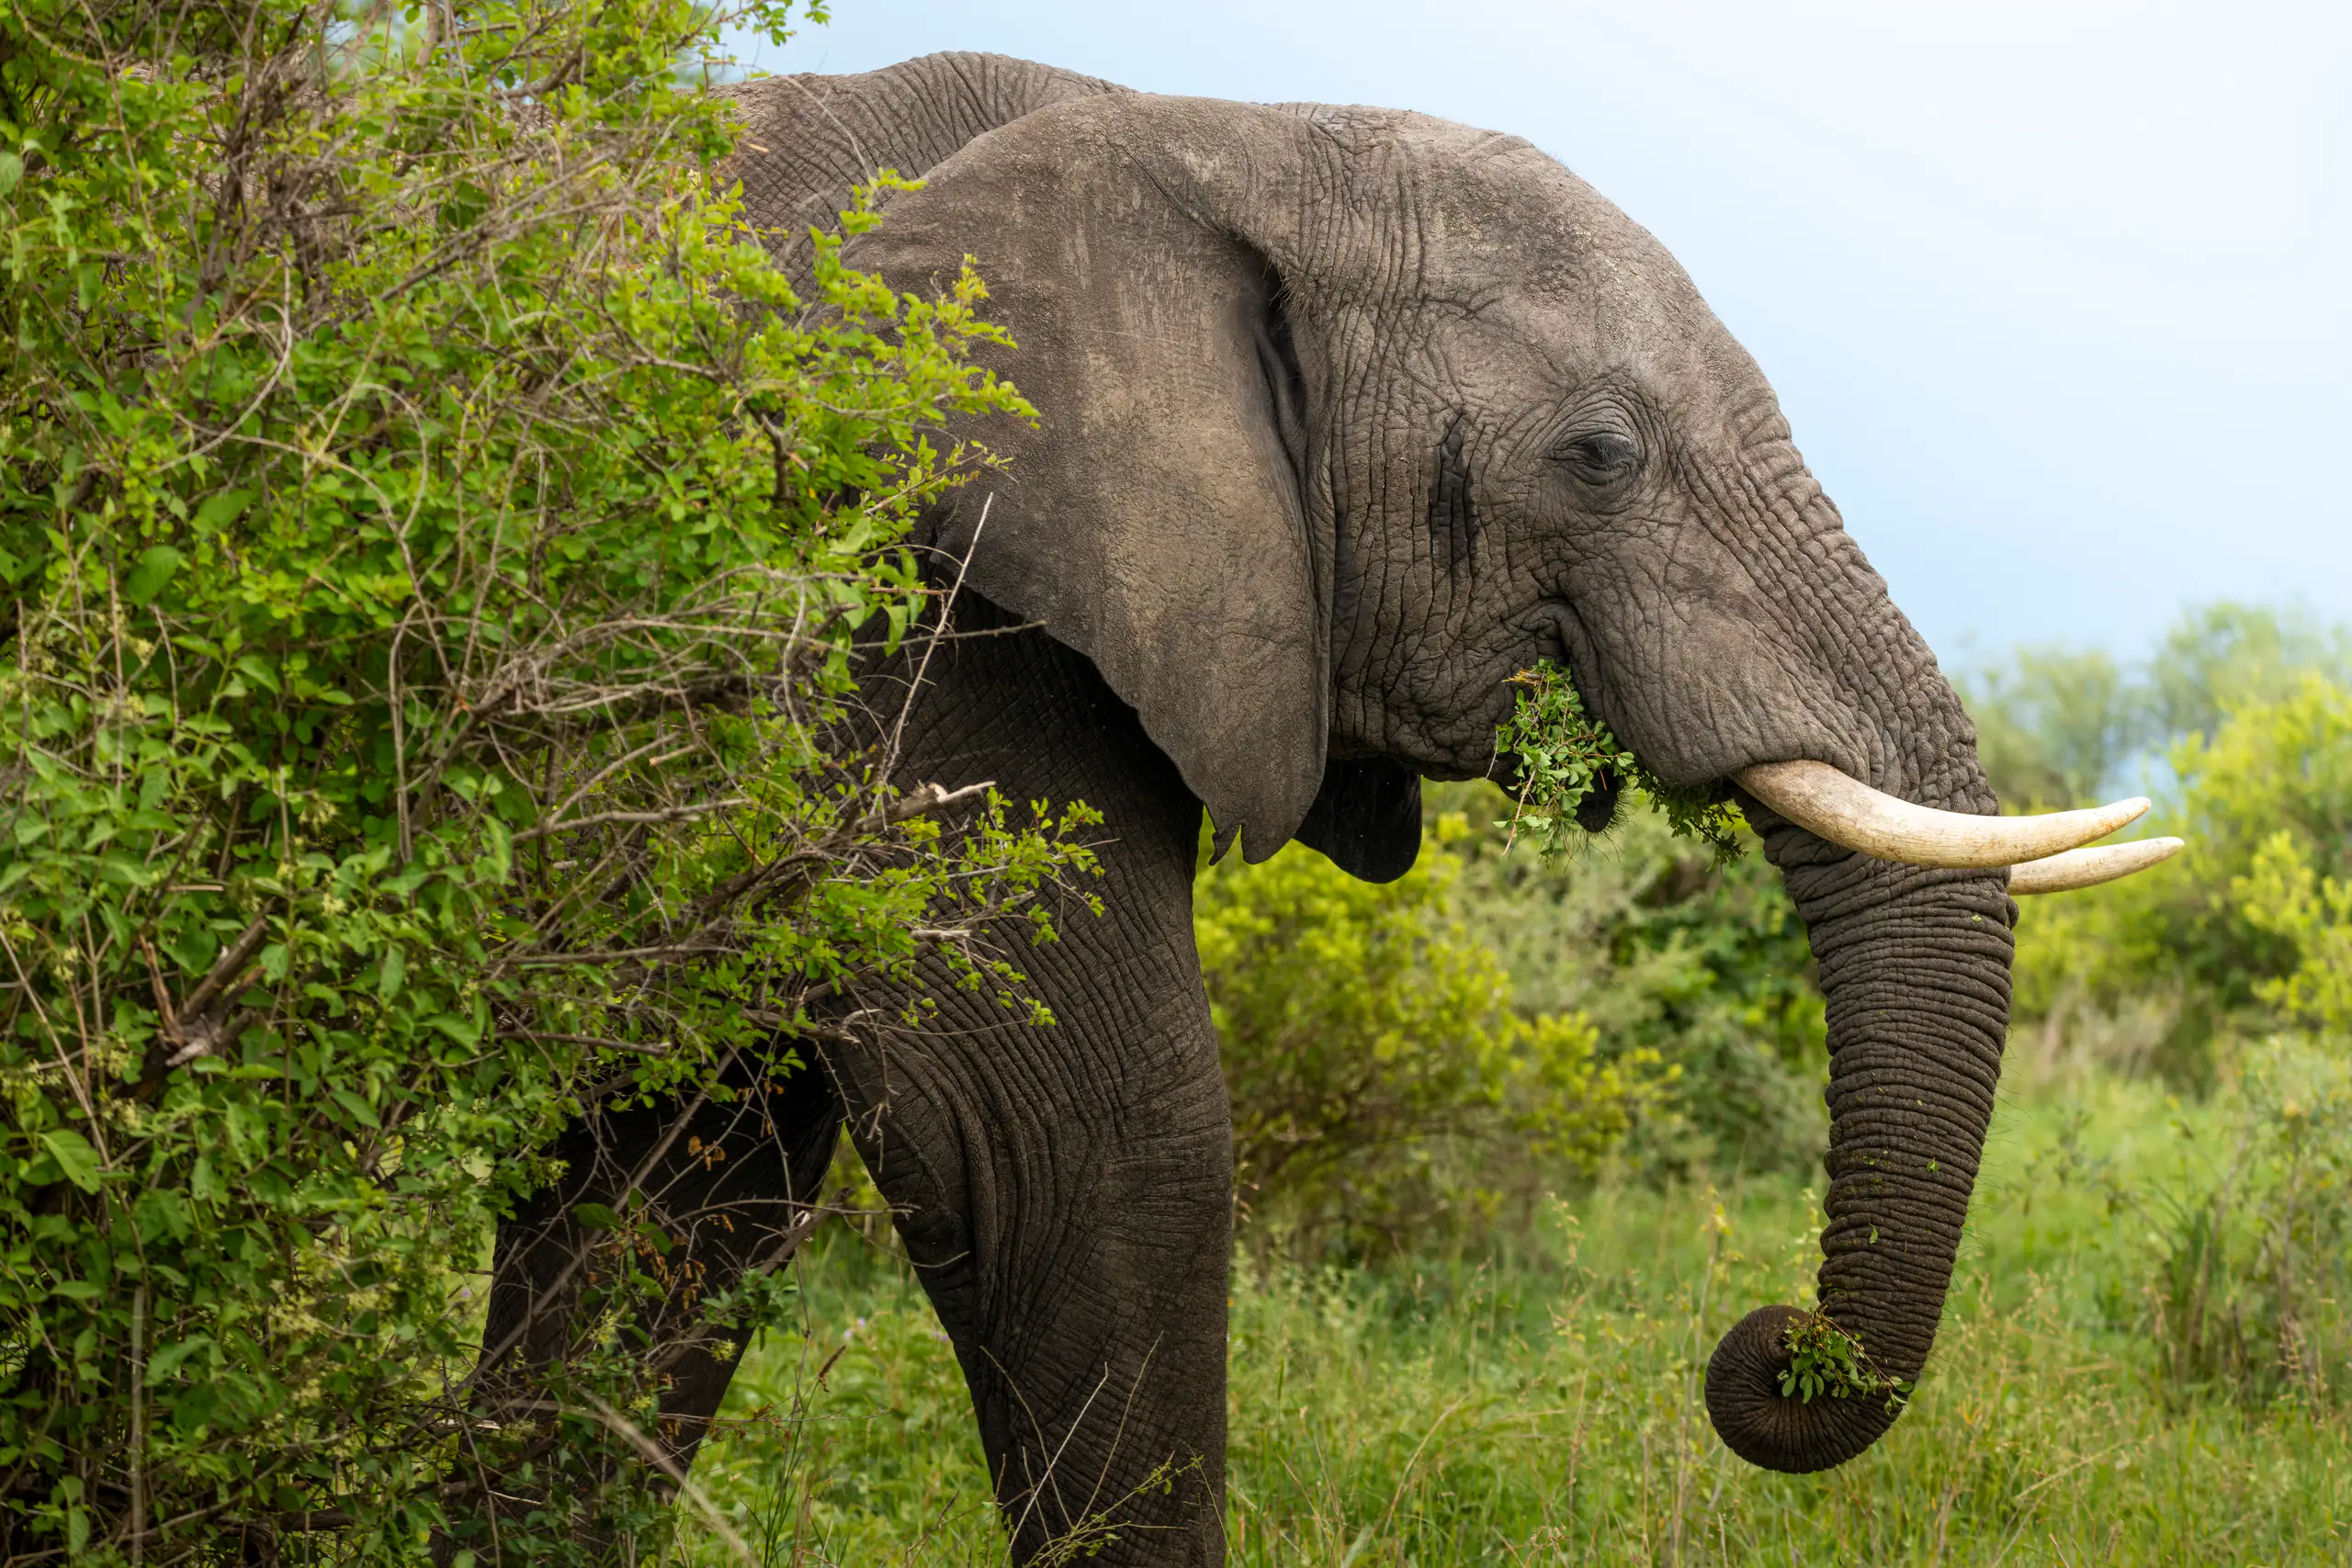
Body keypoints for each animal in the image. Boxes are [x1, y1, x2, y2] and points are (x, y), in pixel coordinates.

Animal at [462, 51, 2178, 1565]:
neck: (1199, 134)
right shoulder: (896, 591)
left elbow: (675, 1186)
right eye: (1601, 455)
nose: (1772, 1345)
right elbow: (1082, 1141)